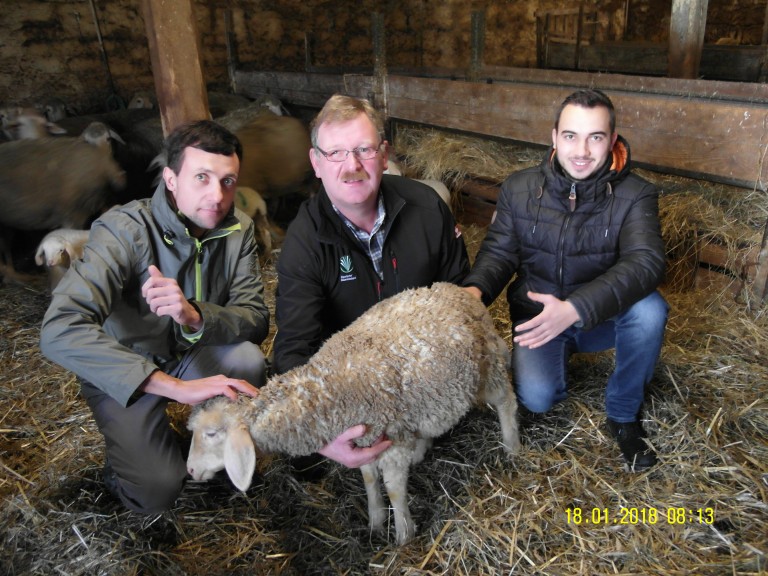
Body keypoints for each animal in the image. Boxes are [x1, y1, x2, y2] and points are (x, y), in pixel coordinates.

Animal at [188, 282, 520, 544]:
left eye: (212, 433)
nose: (190, 470)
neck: (324, 395)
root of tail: (457, 290)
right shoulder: (365, 441)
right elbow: (370, 481)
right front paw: (375, 522)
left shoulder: (392, 444)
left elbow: (394, 491)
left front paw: (403, 536)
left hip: (487, 367)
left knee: (507, 401)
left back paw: (511, 446)